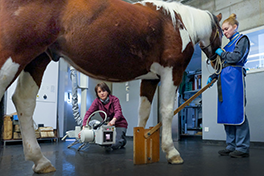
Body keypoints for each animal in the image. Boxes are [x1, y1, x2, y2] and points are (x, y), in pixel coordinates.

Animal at [0, 0, 223, 173]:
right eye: (221, 33)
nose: (216, 60)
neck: (179, 22)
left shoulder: (151, 78)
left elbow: (143, 112)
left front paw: (142, 143)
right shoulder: (172, 72)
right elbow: (167, 111)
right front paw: (172, 152)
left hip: (37, 59)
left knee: (24, 102)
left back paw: (40, 161)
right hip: (13, 54)